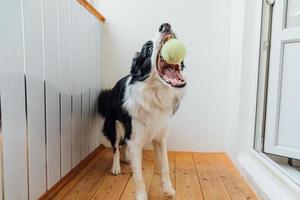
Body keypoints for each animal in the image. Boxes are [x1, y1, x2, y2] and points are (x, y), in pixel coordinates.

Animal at [98, 23, 185, 198]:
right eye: (149, 49)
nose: (165, 25)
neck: (154, 94)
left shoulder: (160, 137)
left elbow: (165, 166)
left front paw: (168, 189)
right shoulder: (135, 138)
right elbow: (138, 176)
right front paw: (141, 196)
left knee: (124, 144)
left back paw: (127, 158)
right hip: (115, 125)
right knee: (116, 147)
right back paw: (116, 167)